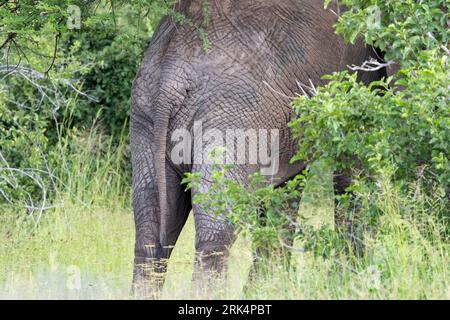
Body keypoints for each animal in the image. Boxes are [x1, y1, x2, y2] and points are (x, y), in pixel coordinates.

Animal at [131, 0, 386, 296]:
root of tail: (169, 81)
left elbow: (284, 191)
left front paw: (268, 288)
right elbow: (353, 167)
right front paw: (351, 282)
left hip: (146, 112)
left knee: (151, 222)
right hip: (231, 115)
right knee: (215, 223)